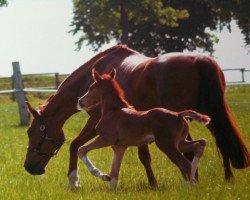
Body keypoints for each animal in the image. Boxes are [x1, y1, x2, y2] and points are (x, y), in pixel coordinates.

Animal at [77, 68, 210, 188]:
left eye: (91, 88)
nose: (80, 102)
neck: (113, 111)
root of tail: (178, 114)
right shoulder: (119, 147)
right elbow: (114, 174)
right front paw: (108, 181)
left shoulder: (106, 138)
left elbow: (81, 149)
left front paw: (101, 174)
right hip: (179, 143)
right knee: (199, 145)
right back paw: (193, 185)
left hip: (166, 144)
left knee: (185, 164)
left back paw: (187, 189)